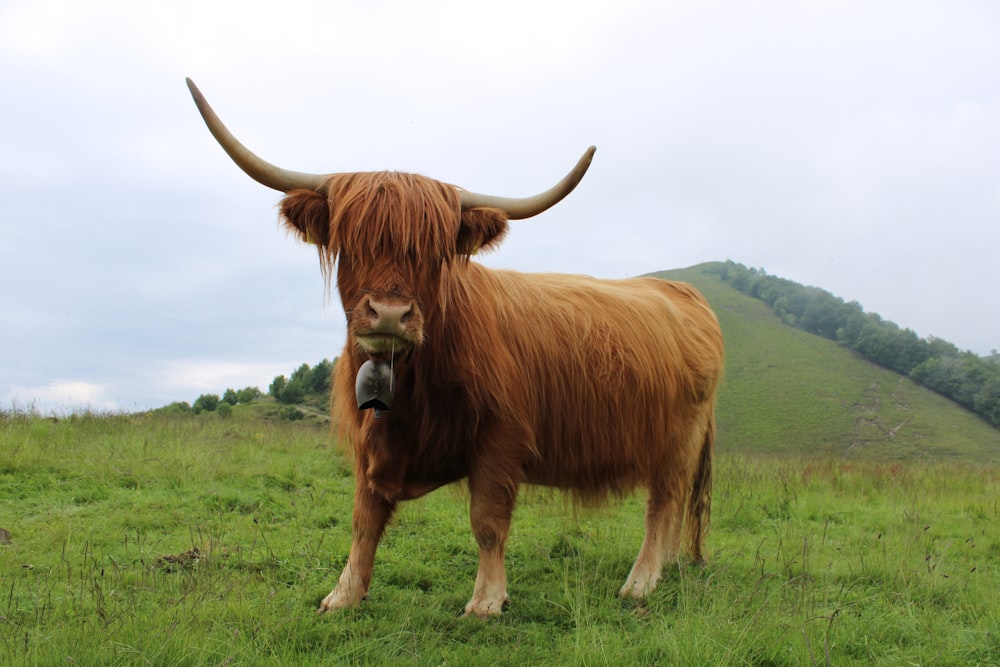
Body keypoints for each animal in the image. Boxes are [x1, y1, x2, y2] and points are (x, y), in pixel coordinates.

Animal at [188, 79, 724, 620]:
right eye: (352, 243)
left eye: (433, 251)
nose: (389, 313)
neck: (412, 384)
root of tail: (683, 292)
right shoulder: (369, 439)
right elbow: (364, 518)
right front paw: (343, 594)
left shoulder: (500, 437)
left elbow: (487, 521)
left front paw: (486, 600)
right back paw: (665, 569)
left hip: (677, 441)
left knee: (662, 504)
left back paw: (640, 582)